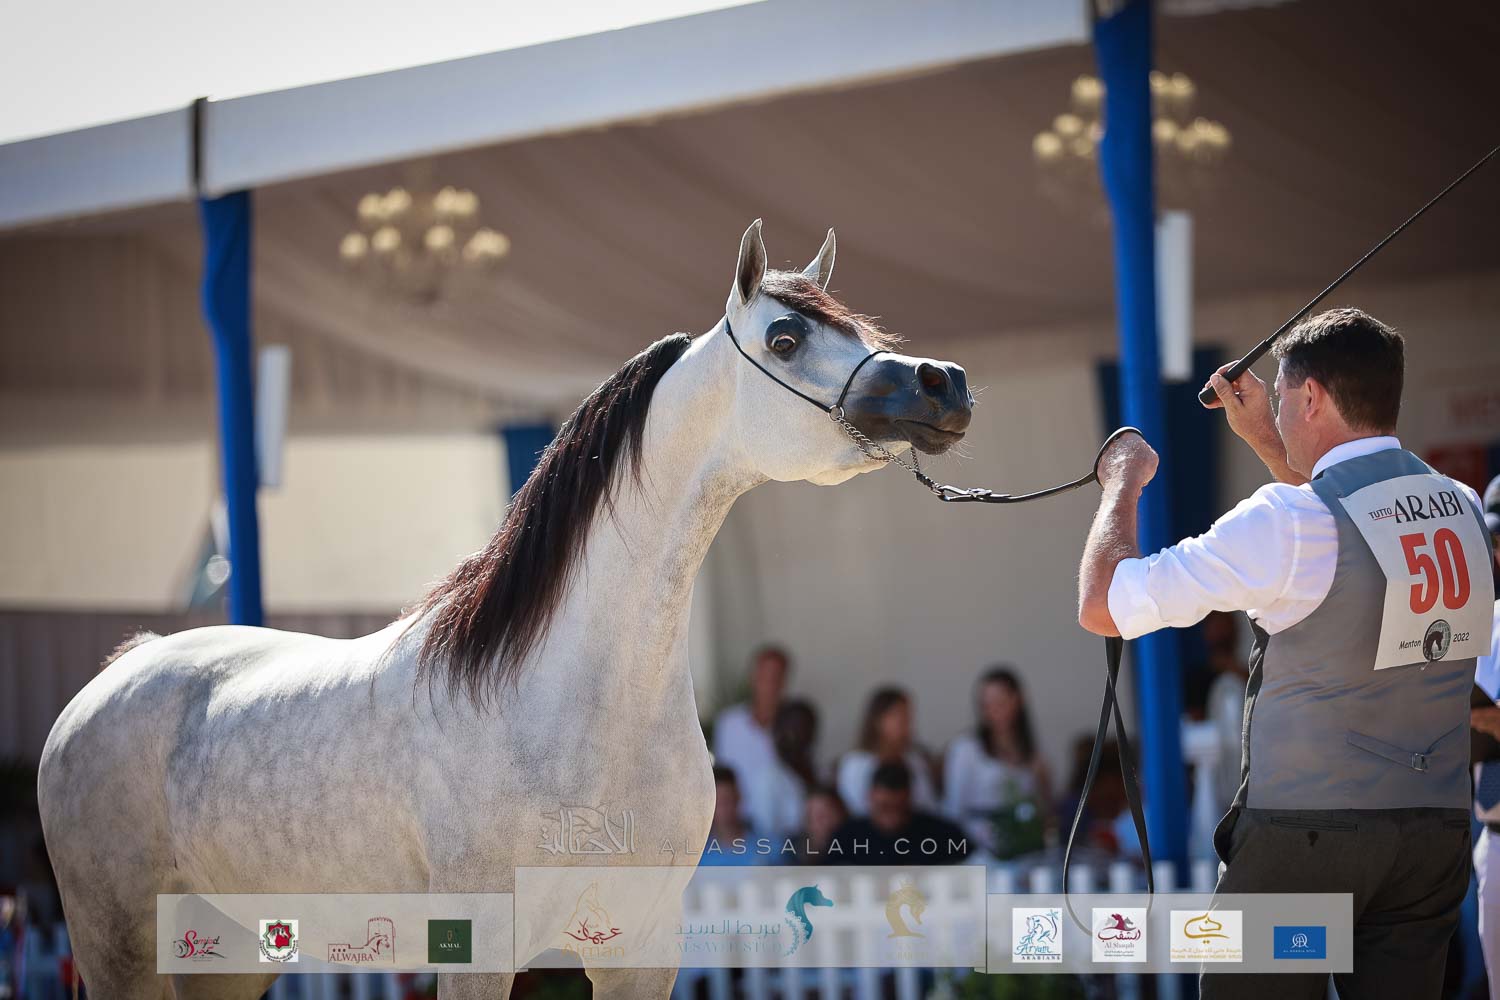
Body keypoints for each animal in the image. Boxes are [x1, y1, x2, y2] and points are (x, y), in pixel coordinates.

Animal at [37, 219, 972, 999]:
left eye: (860, 330)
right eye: (786, 337)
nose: (944, 383)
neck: (570, 702)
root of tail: (117, 676)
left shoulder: (641, 951)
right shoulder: (477, 951)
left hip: (223, 955)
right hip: (123, 948)